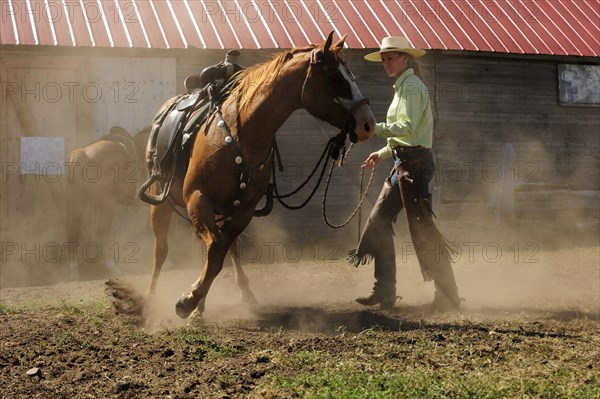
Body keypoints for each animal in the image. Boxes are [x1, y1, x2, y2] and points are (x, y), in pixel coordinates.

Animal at [108, 33, 376, 322]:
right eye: (335, 78)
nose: (368, 124)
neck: (242, 134)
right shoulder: (198, 199)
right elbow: (214, 251)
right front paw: (187, 301)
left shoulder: (243, 210)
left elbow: (219, 252)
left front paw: (195, 300)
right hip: (161, 199)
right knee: (162, 250)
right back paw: (148, 298)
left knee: (222, 247)